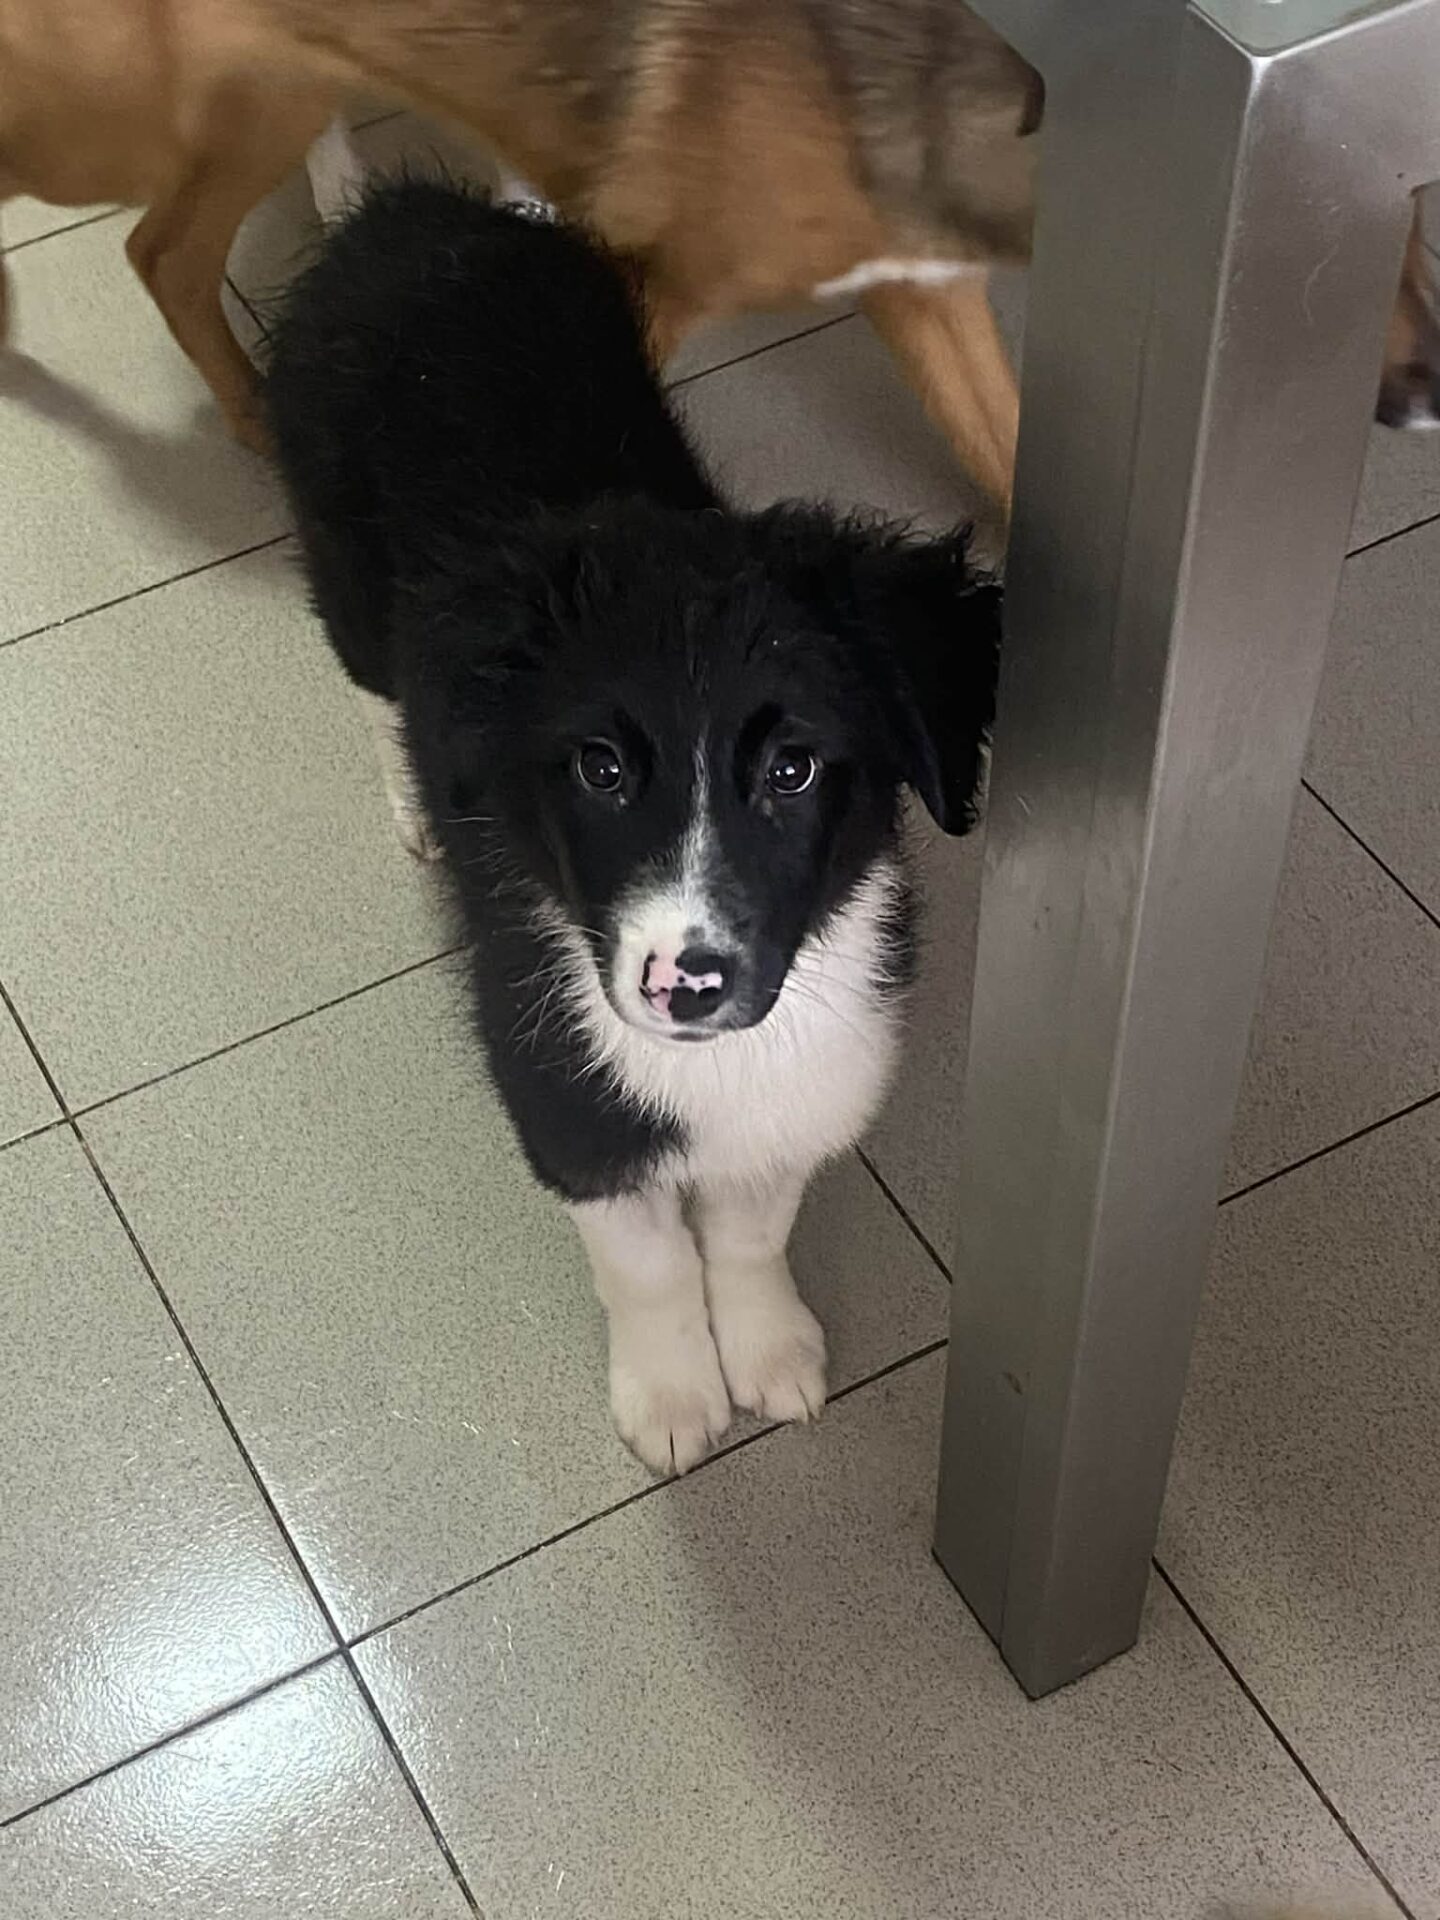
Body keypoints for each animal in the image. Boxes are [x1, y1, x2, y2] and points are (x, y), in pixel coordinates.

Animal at [262, 180, 1000, 1473]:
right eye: (600, 769)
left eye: (796, 768)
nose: (686, 985)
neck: (715, 1064)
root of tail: (408, 214)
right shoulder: (562, 1094)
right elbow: (647, 1260)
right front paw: (671, 1394)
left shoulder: (803, 1086)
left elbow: (751, 1227)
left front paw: (767, 1350)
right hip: (344, 575)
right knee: (372, 690)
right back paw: (411, 801)